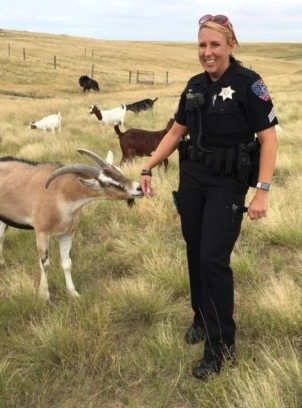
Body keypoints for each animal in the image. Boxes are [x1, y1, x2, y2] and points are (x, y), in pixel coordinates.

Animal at [0, 149, 143, 300]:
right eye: (107, 183)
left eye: (119, 171)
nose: (139, 188)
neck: (61, 193)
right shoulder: (41, 233)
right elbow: (45, 264)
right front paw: (44, 295)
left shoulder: (67, 234)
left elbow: (67, 263)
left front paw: (73, 292)